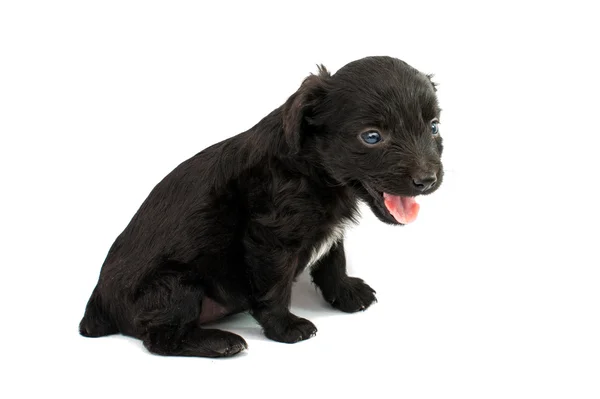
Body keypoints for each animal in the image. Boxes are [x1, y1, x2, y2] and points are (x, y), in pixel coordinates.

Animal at [79, 55, 442, 356]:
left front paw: (346, 293)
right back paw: (220, 342)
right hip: (174, 285)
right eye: (371, 137)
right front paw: (286, 327)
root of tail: (97, 305)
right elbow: (274, 287)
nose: (428, 179)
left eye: (434, 127)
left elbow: (333, 259)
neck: (313, 170)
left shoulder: (328, 230)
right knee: (160, 338)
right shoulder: (270, 238)